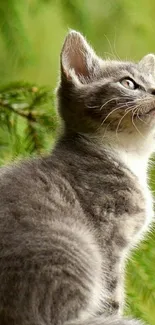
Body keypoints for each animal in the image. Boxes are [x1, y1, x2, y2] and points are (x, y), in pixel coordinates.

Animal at [0, 31, 155, 324]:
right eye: (128, 83)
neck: (125, 155)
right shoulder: (108, 235)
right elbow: (112, 293)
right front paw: (114, 315)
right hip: (75, 247)